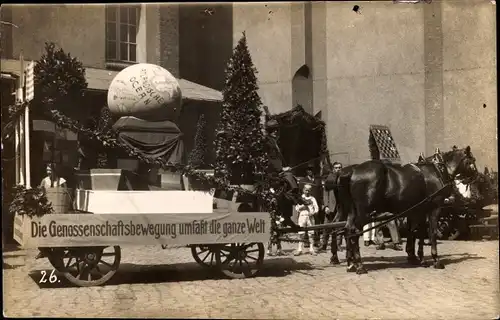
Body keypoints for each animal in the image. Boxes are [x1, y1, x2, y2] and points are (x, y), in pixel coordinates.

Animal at [332, 146, 476, 274]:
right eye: (472, 160)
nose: (475, 177)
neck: (437, 171)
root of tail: (352, 171)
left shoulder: (419, 210)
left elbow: (417, 232)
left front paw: (417, 257)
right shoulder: (434, 208)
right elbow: (431, 232)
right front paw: (436, 260)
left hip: (351, 211)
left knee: (347, 230)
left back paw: (350, 264)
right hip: (364, 212)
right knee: (354, 232)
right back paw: (359, 265)